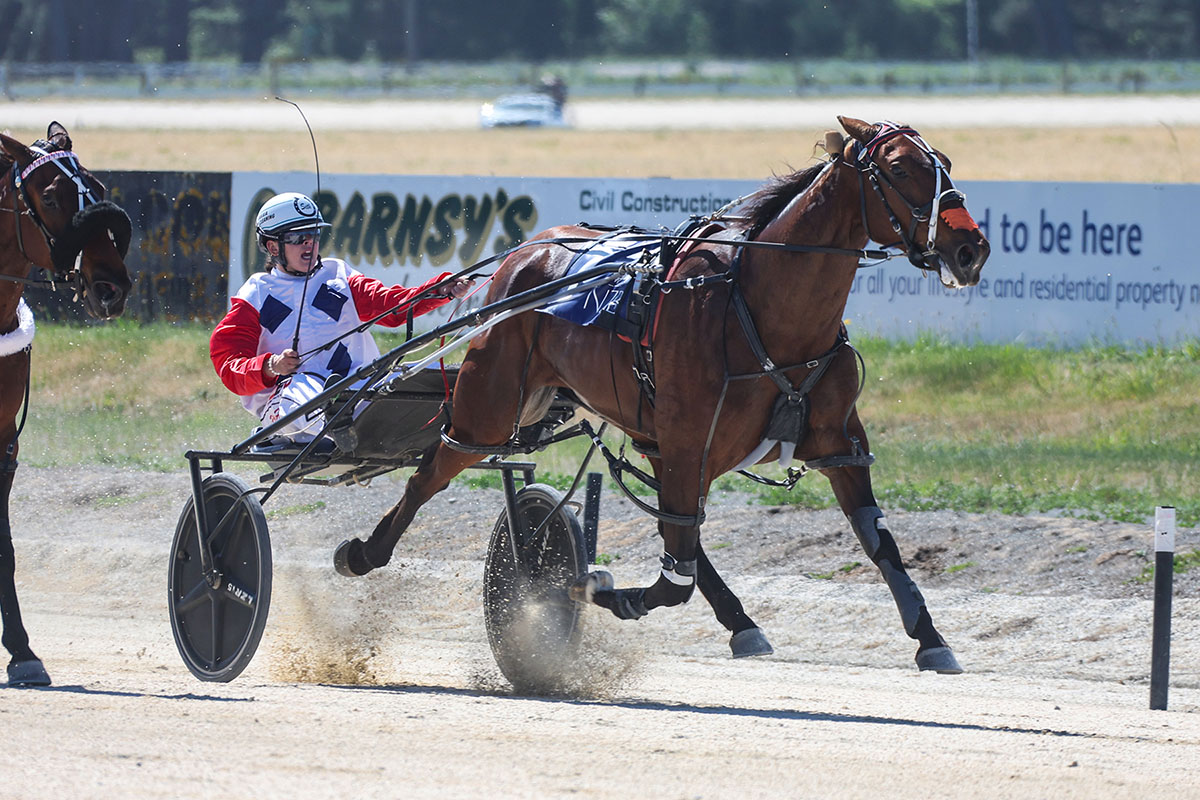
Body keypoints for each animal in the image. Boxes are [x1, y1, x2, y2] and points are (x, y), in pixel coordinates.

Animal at [335, 116, 990, 673]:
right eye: (900, 168)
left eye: (944, 161)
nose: (971, 249)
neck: (761, 307)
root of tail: (528, 250)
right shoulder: (688, 438)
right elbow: (672, 577)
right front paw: (589, 588)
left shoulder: (836, 442)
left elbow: (881, 543)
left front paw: (931, 638)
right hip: (490, 404)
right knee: (433, 470)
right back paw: (365, 553)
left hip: (641, 430)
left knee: (681, 534)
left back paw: (741, 623)